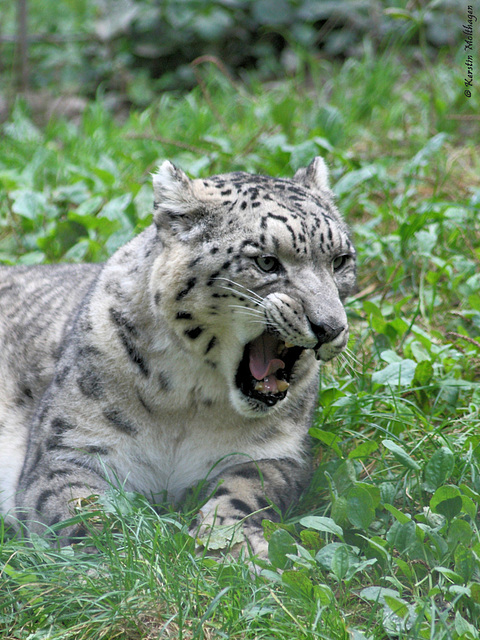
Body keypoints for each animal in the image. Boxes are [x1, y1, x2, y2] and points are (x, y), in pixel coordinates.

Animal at [0, 158, 356, 556]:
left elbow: (244, 490)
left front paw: (240, 548)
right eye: (266, 262)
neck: (188, 403)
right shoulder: (69, 449)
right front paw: (127, 550)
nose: (330, 327)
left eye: (340, 260)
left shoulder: (275, 452)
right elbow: (82, 507)